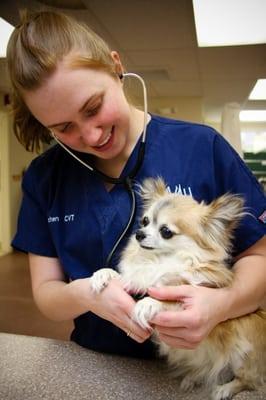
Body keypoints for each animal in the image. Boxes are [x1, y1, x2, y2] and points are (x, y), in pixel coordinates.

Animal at [90, 178, 266, 400]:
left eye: (166, 231)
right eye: (144, 221)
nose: (139, 234)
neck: (159, 260)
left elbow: (173, 294)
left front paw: (149, 303)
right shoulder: (140, 278)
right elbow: (126, 278)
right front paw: (103, 274)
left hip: (244, 343)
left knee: (250, 380)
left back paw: (224, 389)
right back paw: (193, 378)